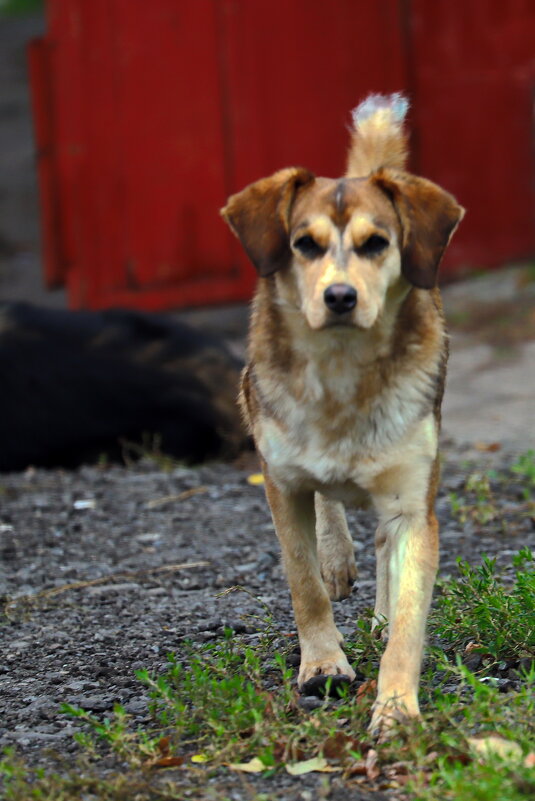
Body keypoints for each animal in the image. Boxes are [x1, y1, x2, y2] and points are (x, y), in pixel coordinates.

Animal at [222, 94, 464, 732]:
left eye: (376, 243)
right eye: (304, 244)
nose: (339, 297)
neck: (341, 373)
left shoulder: (412, 501)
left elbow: (408, 615)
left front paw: (397, 706)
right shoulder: (280, 482)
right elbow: (302, 579)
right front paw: (323, 666)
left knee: (380, 545)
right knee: (328, 507)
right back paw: (337, 557)